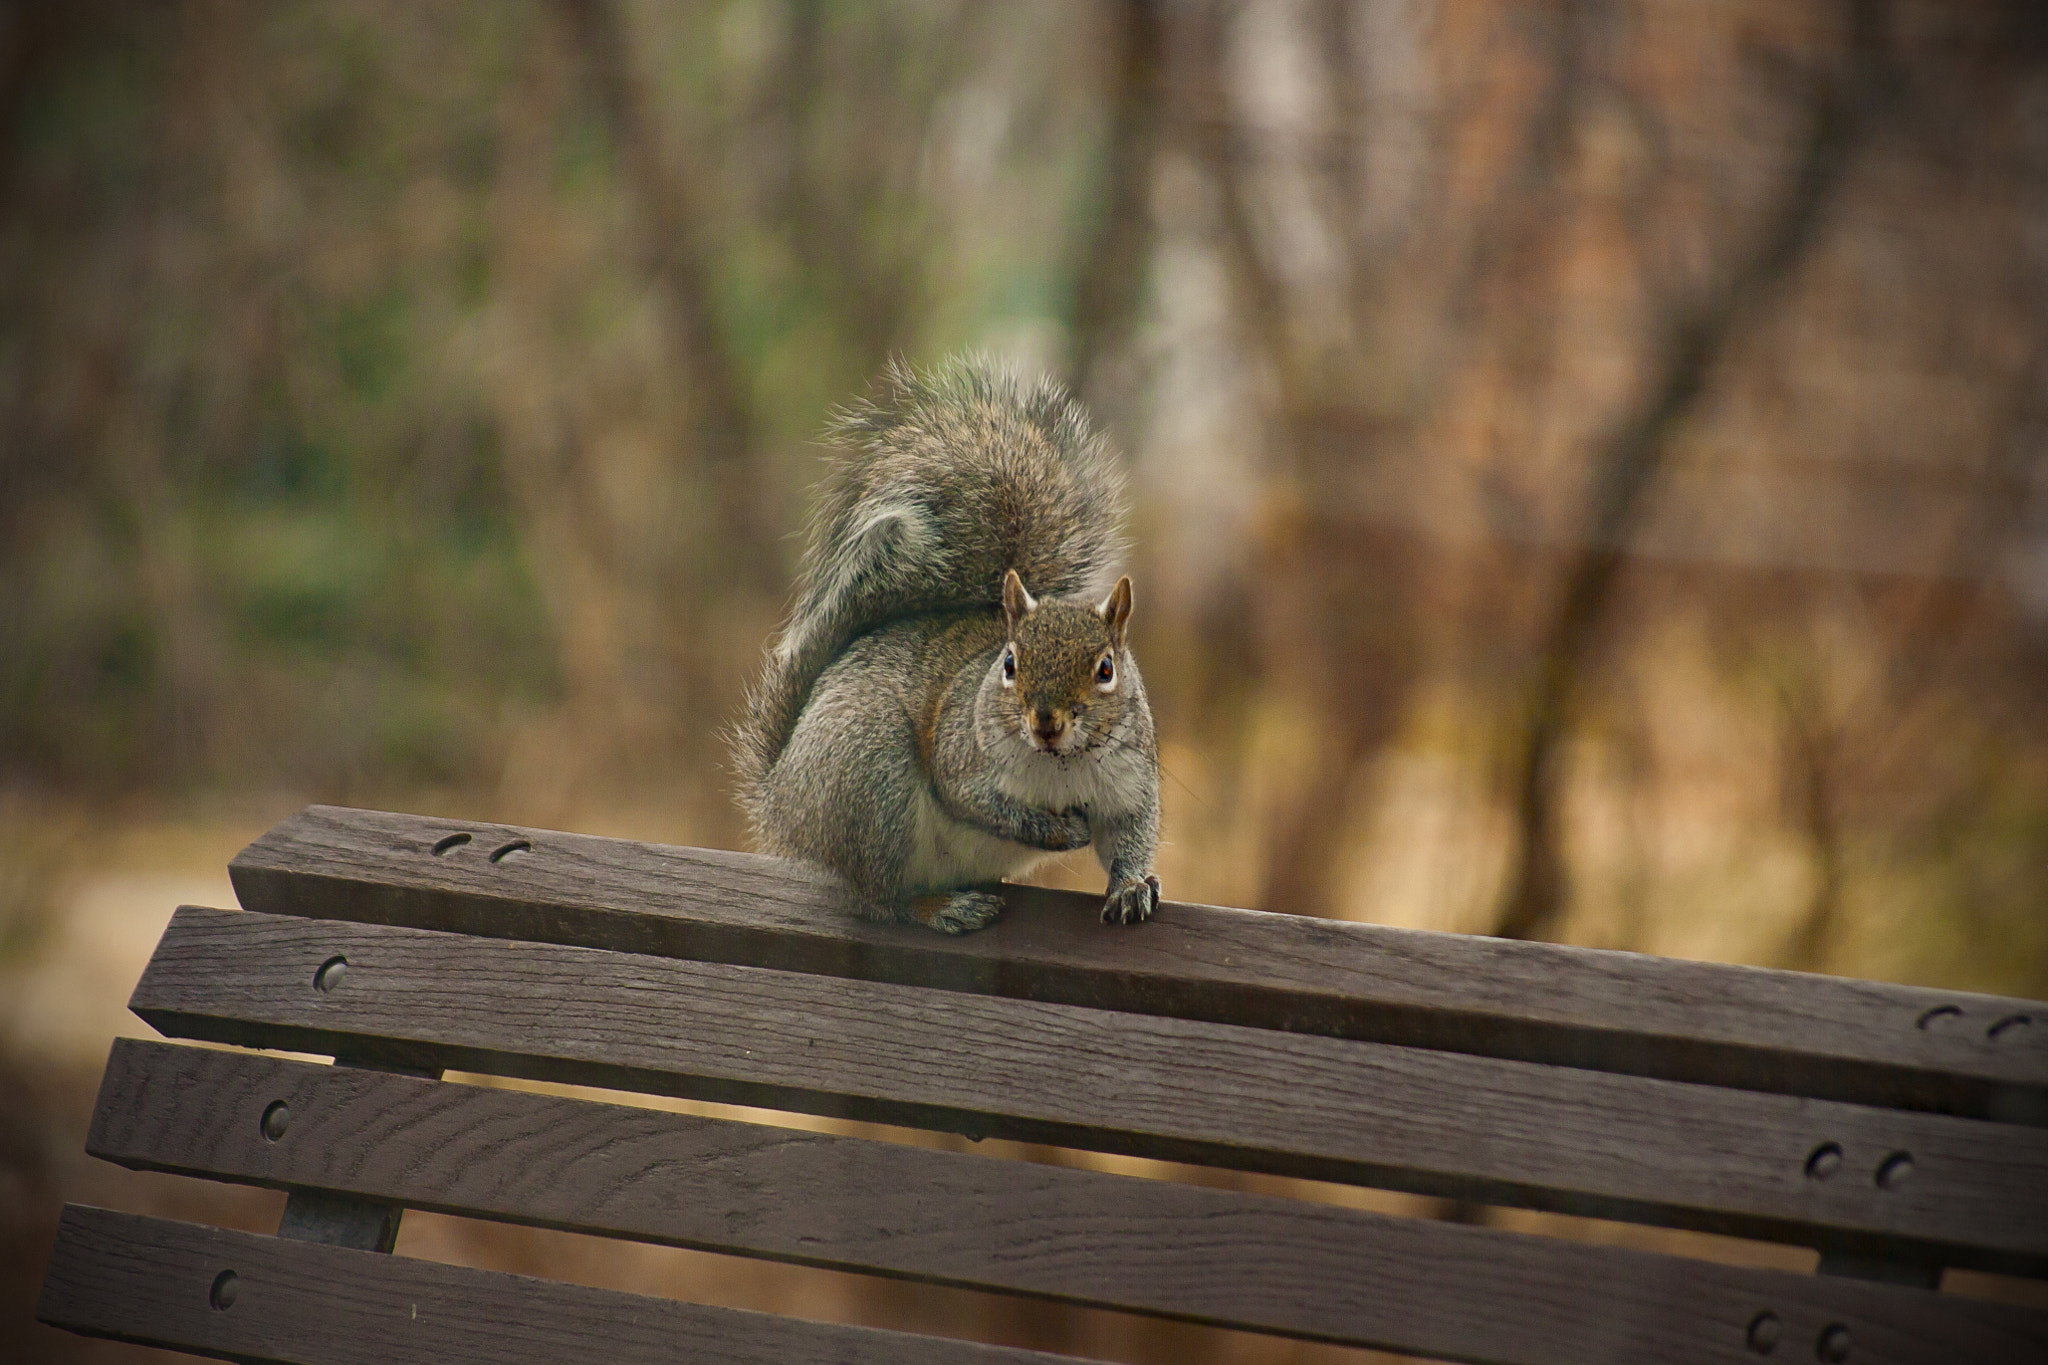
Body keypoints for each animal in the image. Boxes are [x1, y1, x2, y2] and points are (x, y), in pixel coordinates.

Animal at [729, 358, 1163, 933]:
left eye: (1107, 669)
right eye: (1009, 663)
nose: (1046, 722)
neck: (1060, 765)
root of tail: (780, 799)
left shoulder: (1130, 781)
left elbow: (1131, 835)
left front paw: (1133, 886)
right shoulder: (960, 752)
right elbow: (973, 800)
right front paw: (1053, 830)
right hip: (872, 771)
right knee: (879, 898)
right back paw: (944, 908)